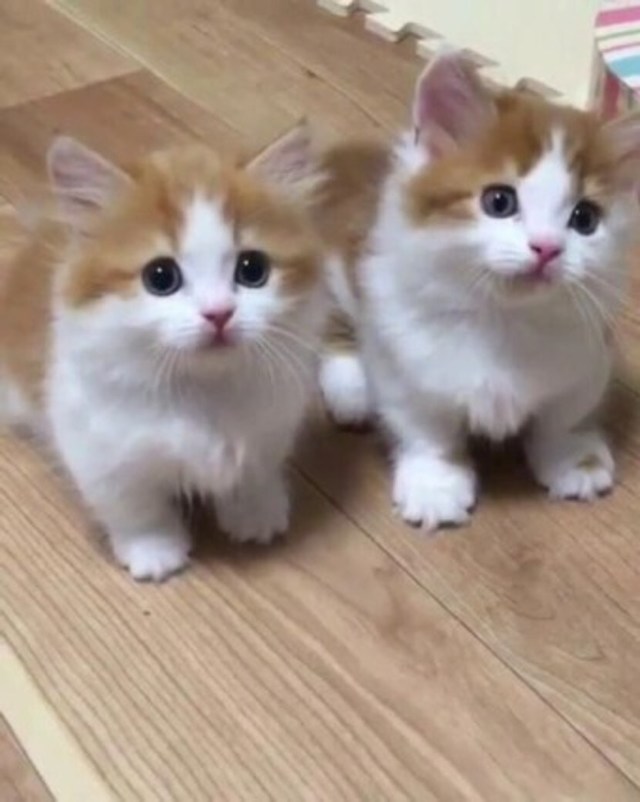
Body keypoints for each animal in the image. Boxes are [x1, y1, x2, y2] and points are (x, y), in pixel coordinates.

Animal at [0, 125, 327, 580]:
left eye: (252, 270)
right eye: (160, 277)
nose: (219, 313)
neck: (204, 391)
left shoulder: (271, 426)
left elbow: (255, 472)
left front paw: (255, 512)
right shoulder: (100, 450)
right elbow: (135, 507)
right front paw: (154, 550)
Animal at [317, 50, 640, 531]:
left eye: (585, 219)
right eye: (499, 202)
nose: (546, 248)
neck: (504, 317)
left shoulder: (585, 359)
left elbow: (563, 416)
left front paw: (572, 458)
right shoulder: (406, 364)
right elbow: (426, 430)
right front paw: (435, 485)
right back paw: (351, 387)